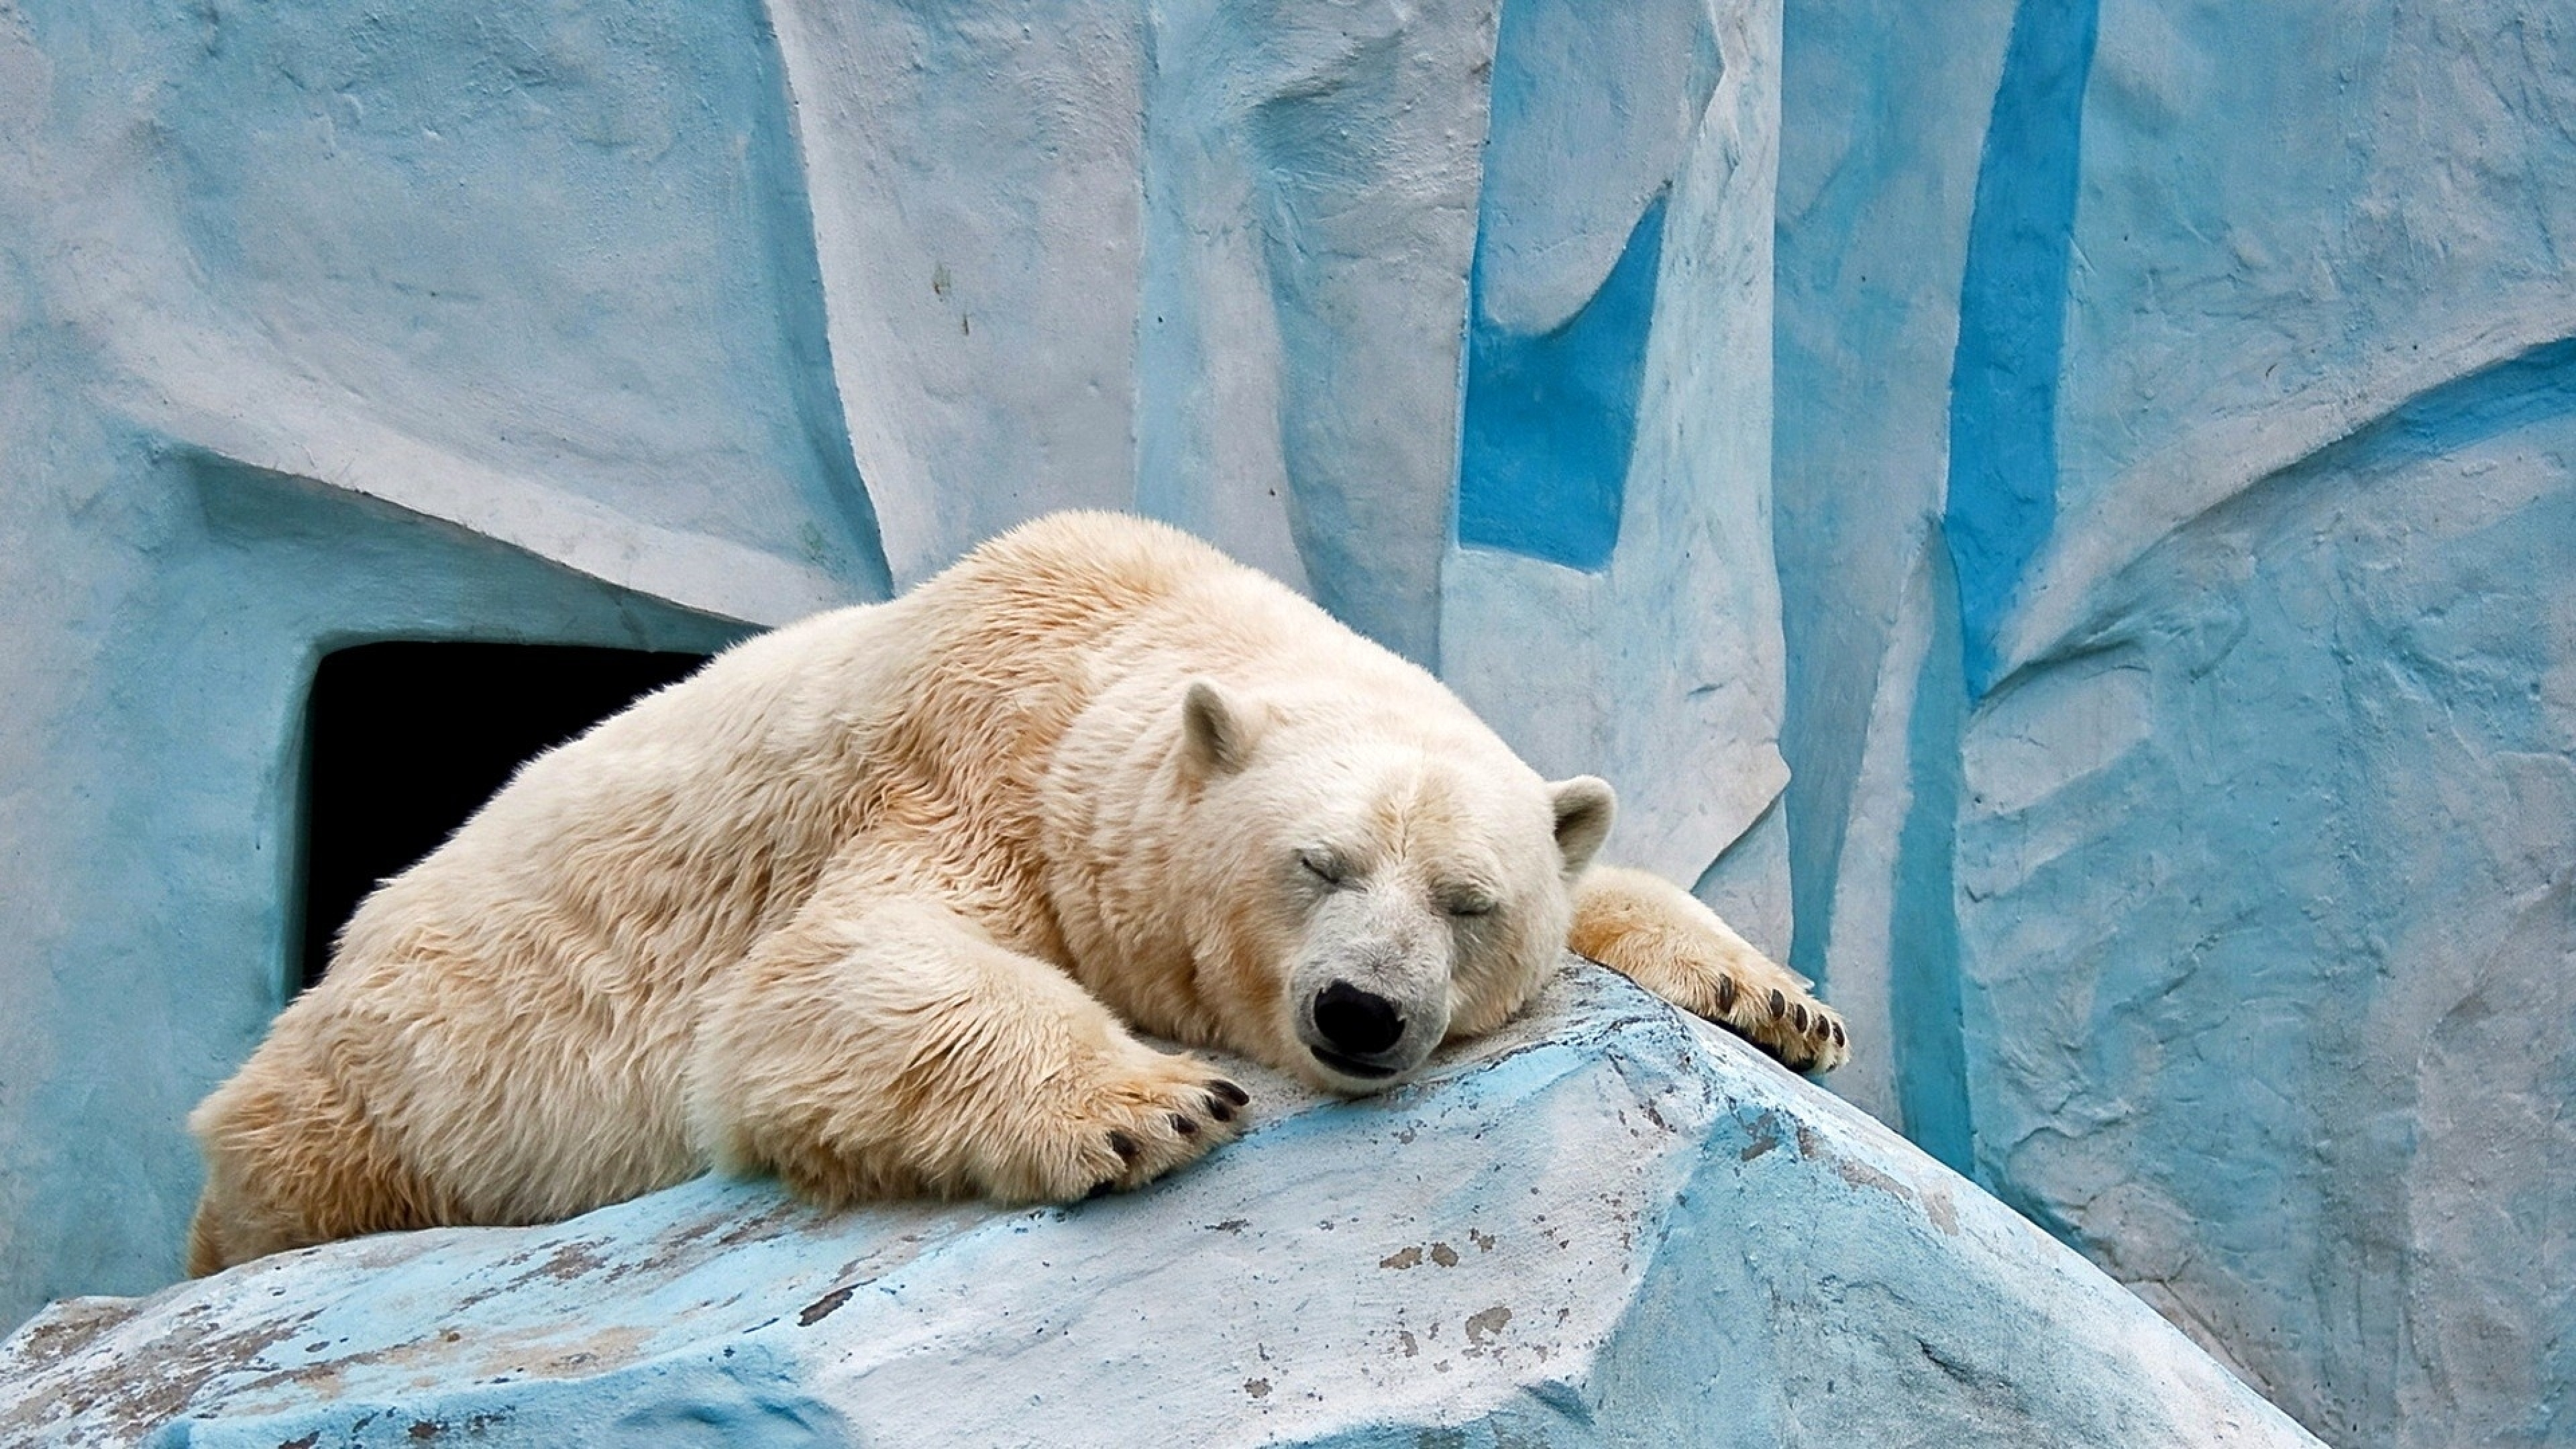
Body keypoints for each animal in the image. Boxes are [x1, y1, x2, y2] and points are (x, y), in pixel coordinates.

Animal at [181, 505, 1844, 1263]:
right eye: (1317, 863)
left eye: (1467, 900)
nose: (1362, 1015)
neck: (1121, 632)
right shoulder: (965, 769)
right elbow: (817, 981)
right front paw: (1150, 1103)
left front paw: (1778, 999)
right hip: (385, 1090)